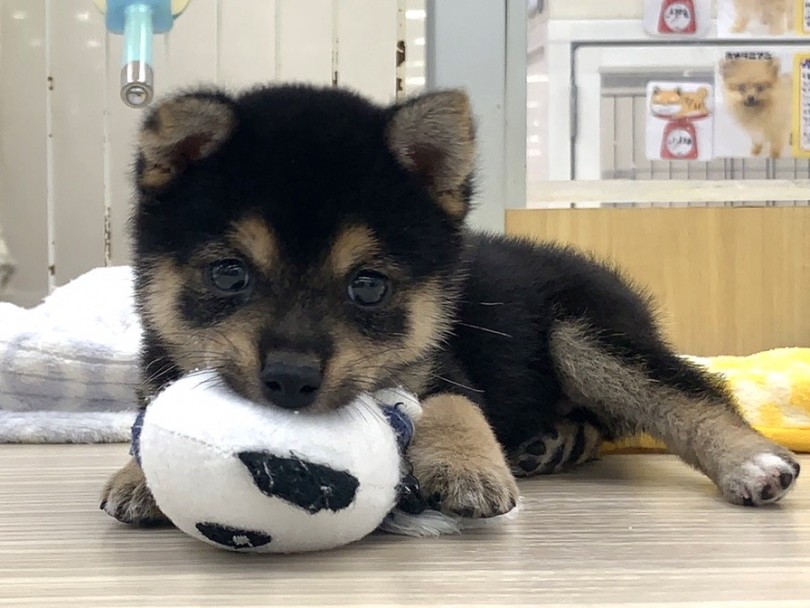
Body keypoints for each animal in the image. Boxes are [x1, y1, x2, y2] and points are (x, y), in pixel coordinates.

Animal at [101, 84, 796, 524]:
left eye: (369, 286)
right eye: (229, 275)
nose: (291, 380)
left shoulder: (441, 365)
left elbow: (455, 405)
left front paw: (469, 467)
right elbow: (148, 426)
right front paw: (138, 478)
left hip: (584, 335)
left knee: (689, 393)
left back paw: (751, 460)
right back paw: (553, 442)